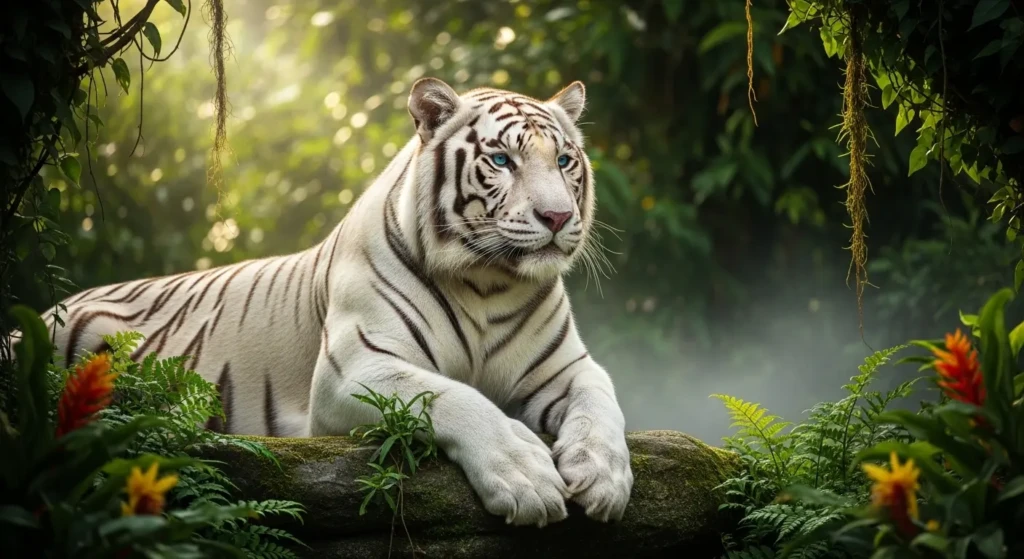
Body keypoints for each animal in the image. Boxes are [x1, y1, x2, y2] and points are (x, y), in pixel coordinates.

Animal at [25, 77, 633, 527]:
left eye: (564, 161)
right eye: (503, 161)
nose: (557, 217)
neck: (490, 282)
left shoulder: (566, 369)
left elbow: (603, 403)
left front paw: (603, 477)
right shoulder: (357, 368)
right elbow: (454, 398)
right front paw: (526, 476)